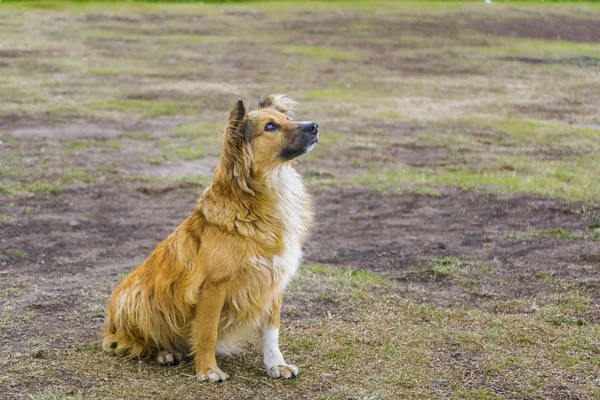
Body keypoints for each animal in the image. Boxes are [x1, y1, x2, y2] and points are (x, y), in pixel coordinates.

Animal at [103, 94, 318, 382]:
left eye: (286, 118)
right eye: (271, 127)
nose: (315, 126)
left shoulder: (273, 279)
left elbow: (271, 332)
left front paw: (276, 364)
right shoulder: (213, 287)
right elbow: (207, 332)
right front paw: (207, 370)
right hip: (136, 296)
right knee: (134, 341)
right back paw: (163, 352)